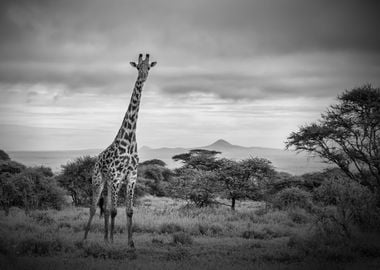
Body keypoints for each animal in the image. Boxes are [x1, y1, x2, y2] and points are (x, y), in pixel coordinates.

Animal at [84, 53, 157, 247]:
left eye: (149, 67)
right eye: (138, 67)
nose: (143, 77)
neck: (130, 139)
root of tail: (96, 159)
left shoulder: (131, 177)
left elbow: (128, 211)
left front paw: (130, 242)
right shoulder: (117, 177)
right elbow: (115, 211)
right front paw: (113, 241)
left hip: (109, 183)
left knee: (106, 208)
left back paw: (104, 237)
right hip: (99, 179)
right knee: (94, 207)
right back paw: (85, 237)